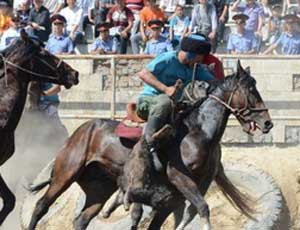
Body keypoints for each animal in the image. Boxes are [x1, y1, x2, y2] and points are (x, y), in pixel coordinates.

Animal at [27, 60, 272, 230]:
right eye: (251, 90)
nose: (267, 122)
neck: (199, 132)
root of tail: (82, 129)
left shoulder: (188, 190)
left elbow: (190, 212)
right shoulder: (178, 177)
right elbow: (201, 208)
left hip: (99, 189)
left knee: (82, 220)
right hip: (66, 172)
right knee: (41, 206)